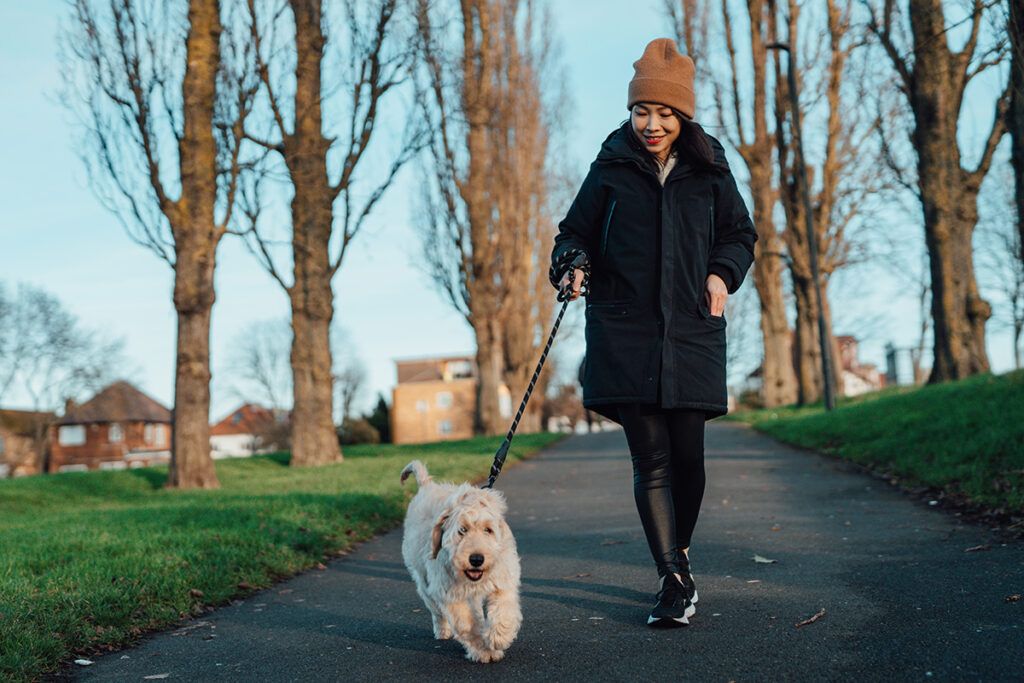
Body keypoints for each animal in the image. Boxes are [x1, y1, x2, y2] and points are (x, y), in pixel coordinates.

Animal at [399, 458, 524, 663]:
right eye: (462, 530)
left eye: (488, 530)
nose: (476, 559)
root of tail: (427, 485)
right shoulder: (449, 593)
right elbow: (467, 624)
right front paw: (483, 651)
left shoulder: (503, 579)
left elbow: (504, 609)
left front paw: (498, 638)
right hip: (424, 581)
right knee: (436, 610)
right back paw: (442, 630)